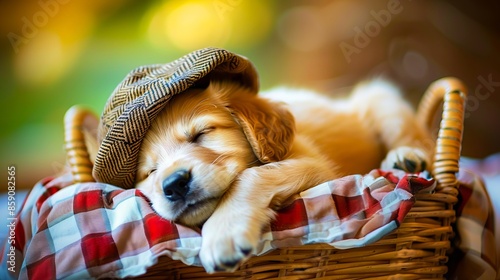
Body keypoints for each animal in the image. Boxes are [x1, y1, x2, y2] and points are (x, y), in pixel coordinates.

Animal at [135, 80, 432, 272]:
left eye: (202, 134)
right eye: (150, 172)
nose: (174, 184)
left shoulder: (316, 165)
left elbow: (250, 176)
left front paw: (223, 233)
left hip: (381, 100)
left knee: (414, 138)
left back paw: (405, 156)